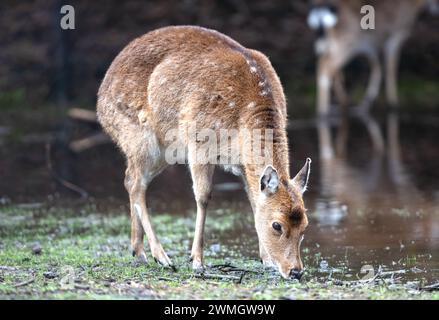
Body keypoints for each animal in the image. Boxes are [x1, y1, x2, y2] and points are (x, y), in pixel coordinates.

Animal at [98, 25, 312, 280]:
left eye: (305, 225)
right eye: (277, 225)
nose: (296, 271)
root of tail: (99, 100)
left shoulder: (243, 165)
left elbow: (253, 200)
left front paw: (267, 260)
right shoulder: (199, 143)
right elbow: (203, 196)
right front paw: (197, 261)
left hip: (159, 151)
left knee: (130, 178)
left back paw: (138, 251)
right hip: (139, 137)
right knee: (135, 183)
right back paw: (162, 257)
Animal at [308, 0, 438, 159]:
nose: (435, 10)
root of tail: (320, 12)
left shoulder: (372, 45)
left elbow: (377, 68)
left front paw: (366, 103)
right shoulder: (394, 37)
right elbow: (389, 67)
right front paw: (392, 104)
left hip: (331, 45)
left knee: (327, 67)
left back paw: (341, 106)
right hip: (345, 44)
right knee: (325, 68)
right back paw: (324, 113)